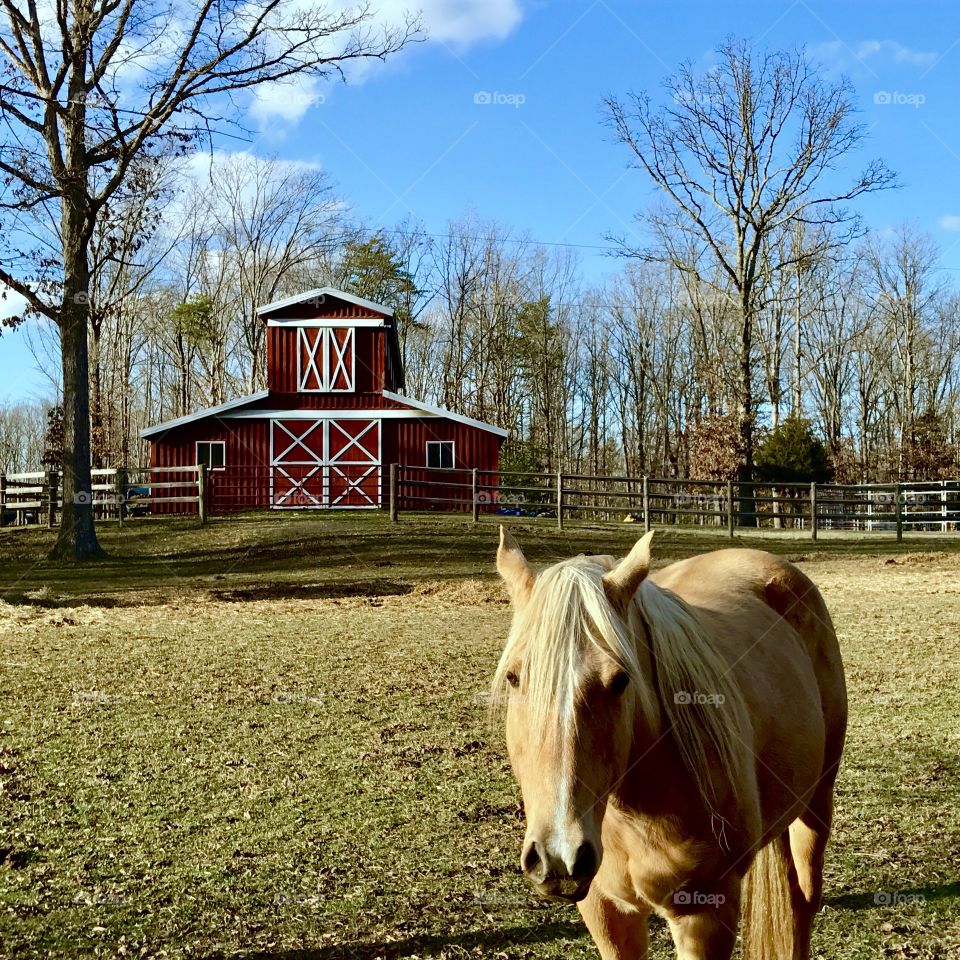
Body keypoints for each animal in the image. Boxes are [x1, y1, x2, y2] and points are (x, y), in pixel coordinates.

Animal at [493, 528, 847, 960]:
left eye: (620, 680)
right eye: (513, 678)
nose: (560, 857)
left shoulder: (704, 916)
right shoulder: (605, 910)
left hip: (816, 805)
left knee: (802, 902)